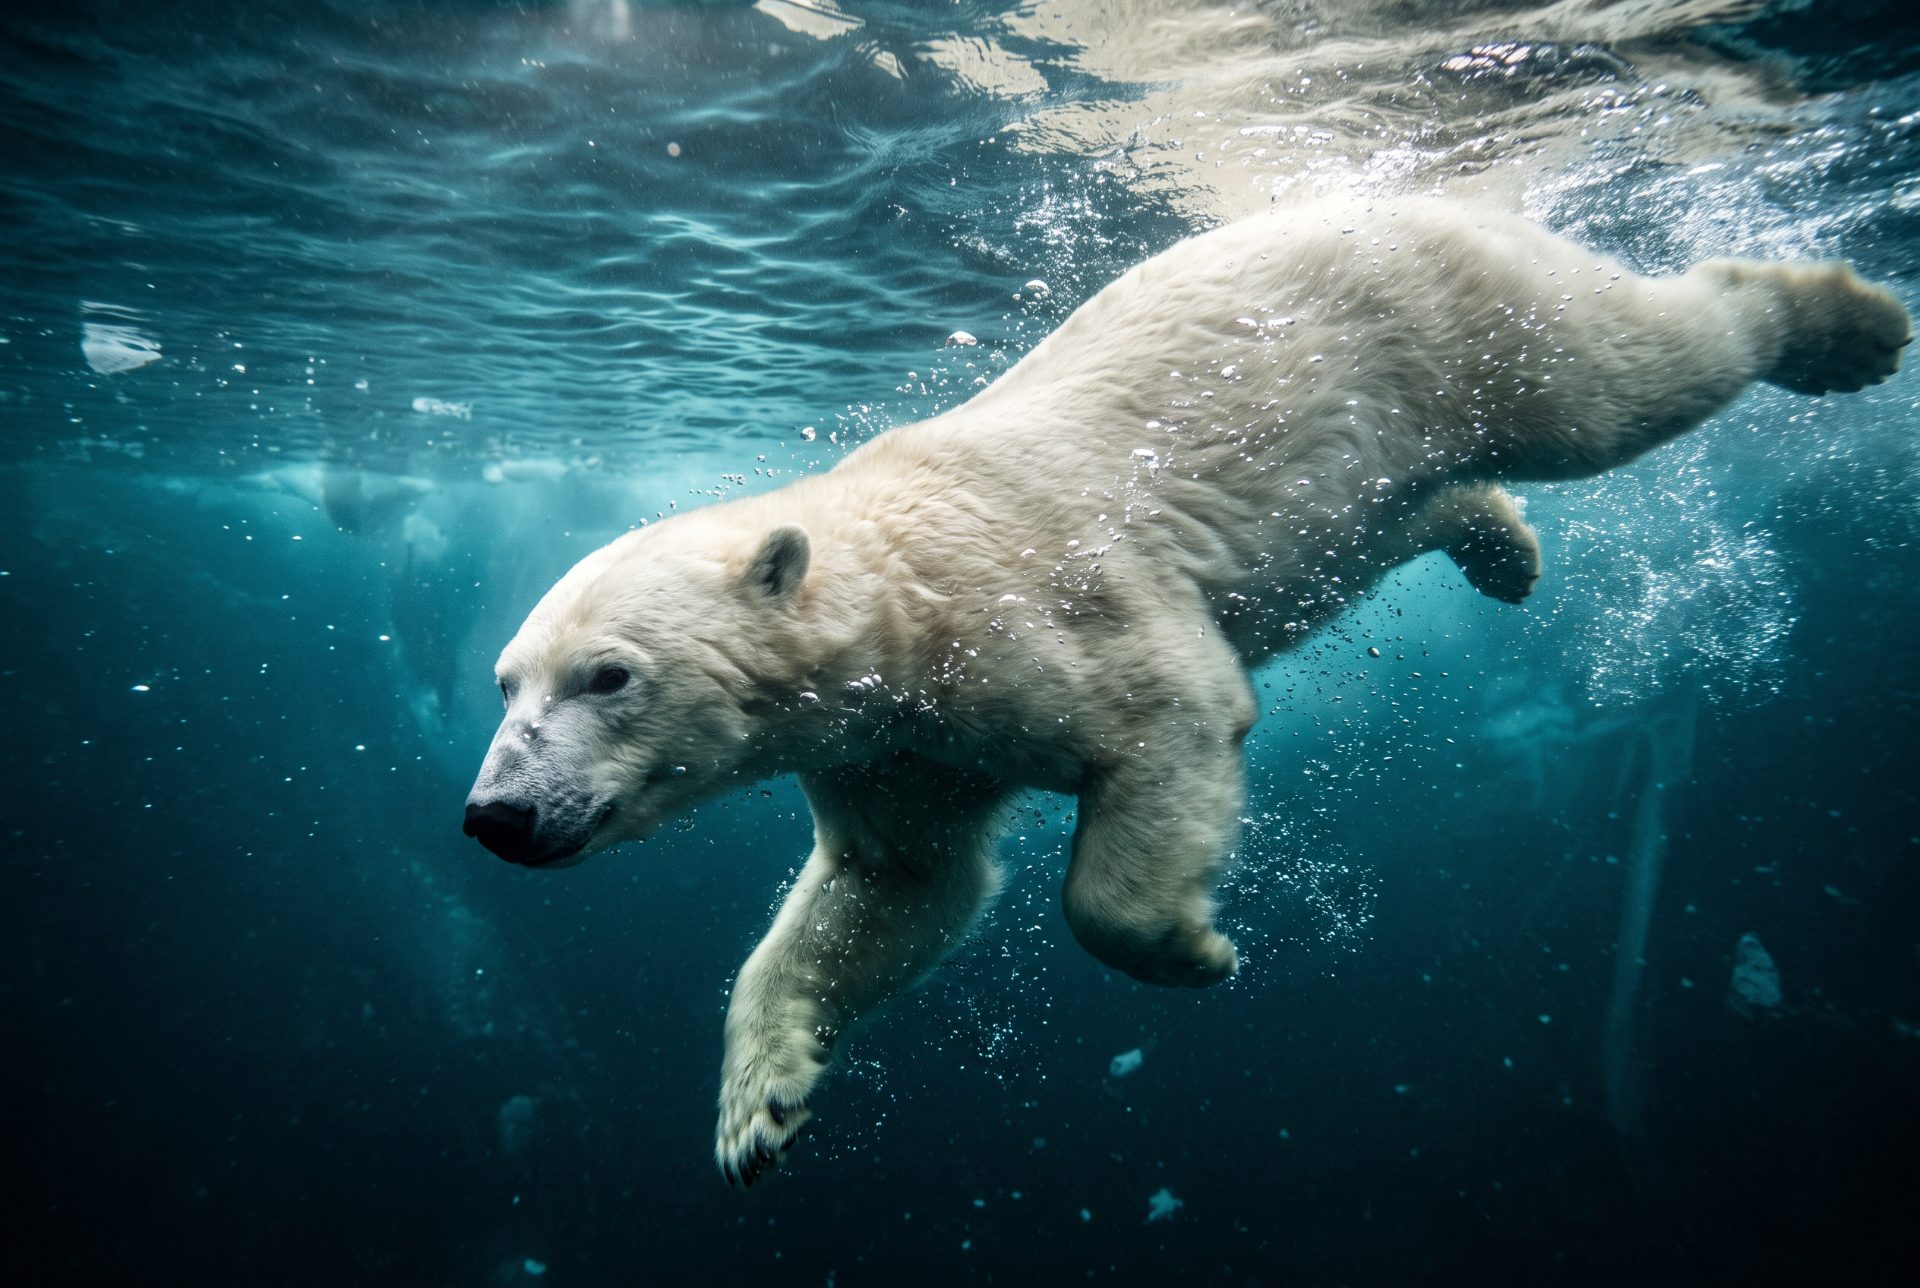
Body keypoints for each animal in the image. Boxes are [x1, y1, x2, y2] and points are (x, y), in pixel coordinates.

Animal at [460, 198, 1909, 1185]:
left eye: (608, 676)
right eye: (506, 682)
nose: (496, 816)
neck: (899, 595)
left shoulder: (1037, 608)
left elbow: (1165, 724)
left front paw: (1189, 946)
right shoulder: (894, 750)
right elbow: (896, 891)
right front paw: (760, 1104)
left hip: (1456, 318)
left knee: (1619, 378)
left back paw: (1842, 323)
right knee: (1436, 493)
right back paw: (1502, 546)